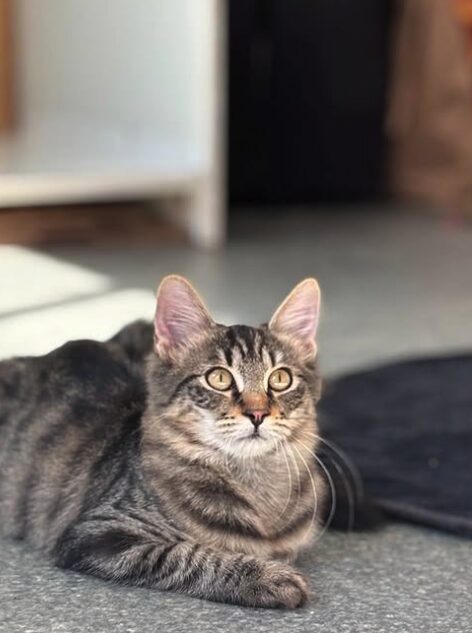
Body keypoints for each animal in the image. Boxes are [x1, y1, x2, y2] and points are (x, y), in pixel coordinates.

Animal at [0, 276, 324, 608]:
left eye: (280, 379)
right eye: (219, 378)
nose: (258, 413)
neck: (256, 481)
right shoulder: (100, 533)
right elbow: (190, 555)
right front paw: (269, 577)